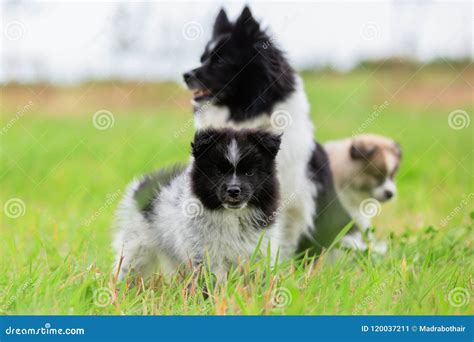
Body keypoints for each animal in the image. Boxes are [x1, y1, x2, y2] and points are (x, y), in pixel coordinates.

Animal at [114, 128, 286, 280]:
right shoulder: (204, 253)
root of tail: (144, 184)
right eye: (219, 172)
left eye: (249, 172)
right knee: (129, 266)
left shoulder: (258, 249)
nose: (233, 190)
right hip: (137, 244)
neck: (233, 215)